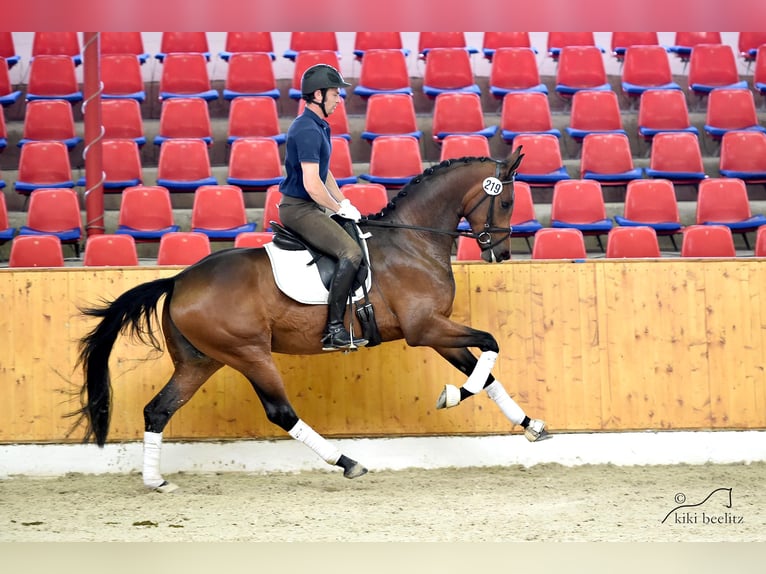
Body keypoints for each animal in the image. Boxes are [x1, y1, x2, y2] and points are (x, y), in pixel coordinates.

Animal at [73, 146, 552, 492]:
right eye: (507, 201)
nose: (501, 253)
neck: (412, 241)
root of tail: (177, 281)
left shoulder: (435, 331)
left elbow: (486, 373)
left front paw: (531, 427)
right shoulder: (424, 329)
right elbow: (490, 346)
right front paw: (452, 396)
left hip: (199, 360)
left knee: (158, 410)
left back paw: (155, 480)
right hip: (249, 354)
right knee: (281, 412)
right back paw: (347, 461)